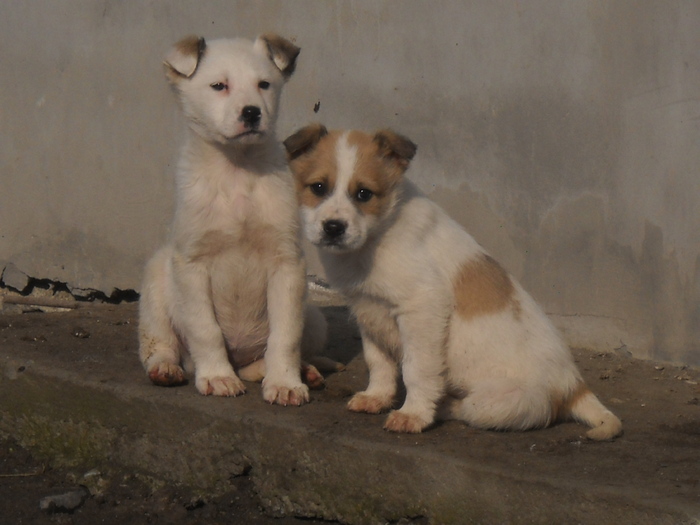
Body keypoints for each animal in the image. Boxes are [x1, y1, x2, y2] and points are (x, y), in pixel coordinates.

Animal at [141, 35, 330, 406]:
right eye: (219, 86)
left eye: (264, 85)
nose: (251, 112)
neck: (237, 171)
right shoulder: (192, 263)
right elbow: (206, 330)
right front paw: (216, 376)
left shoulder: (287, 264)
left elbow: (285, 336)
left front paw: (285, 382)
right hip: (155, 287)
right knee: (160, 344)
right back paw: (167, 369)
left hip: (314, 316)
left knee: (271, 355)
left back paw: (304, 371)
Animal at [284, 124, 624, 438]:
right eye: (318, 187)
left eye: (364, 194)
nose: (333, 227)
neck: (377, 237)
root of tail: (575, 386)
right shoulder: (369, 313)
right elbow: (379, 363)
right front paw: (376, 398)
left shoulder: (422, 307)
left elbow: (416, 370)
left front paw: (414, 415)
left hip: (502, 402)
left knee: (466, 408)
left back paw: (442, 405)